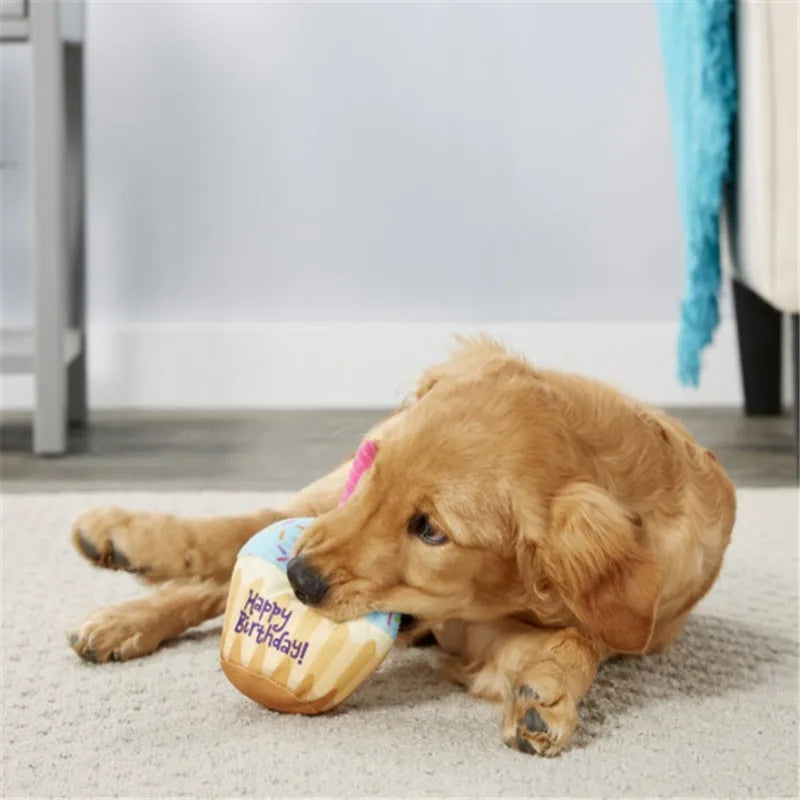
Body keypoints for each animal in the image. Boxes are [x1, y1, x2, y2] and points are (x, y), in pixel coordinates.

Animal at [69, 338, 736, 756]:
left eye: (431, 530)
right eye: (378, 465)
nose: (300, 579)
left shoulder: (492, 637)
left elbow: (578, 641)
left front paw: (547, 692)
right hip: (323, 500)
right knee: (236, 536)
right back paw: (123, 561)